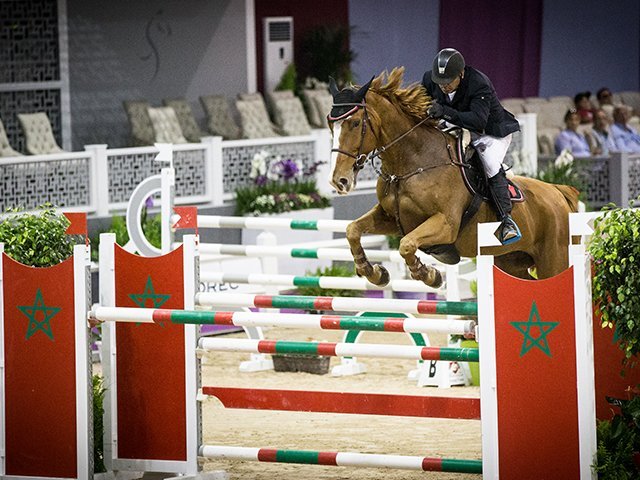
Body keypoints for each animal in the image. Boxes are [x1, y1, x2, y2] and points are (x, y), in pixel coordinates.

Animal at [327, 68, 579, 288]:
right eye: (331, 125)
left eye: (356, 123)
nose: (339, 181)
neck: (412, 163)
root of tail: (558, 192)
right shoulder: (391, 217)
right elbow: (352, 230)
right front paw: (374, 272)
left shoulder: (445, 224)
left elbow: (406, 245)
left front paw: (429, 275)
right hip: (510, 261)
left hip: (554, 259)